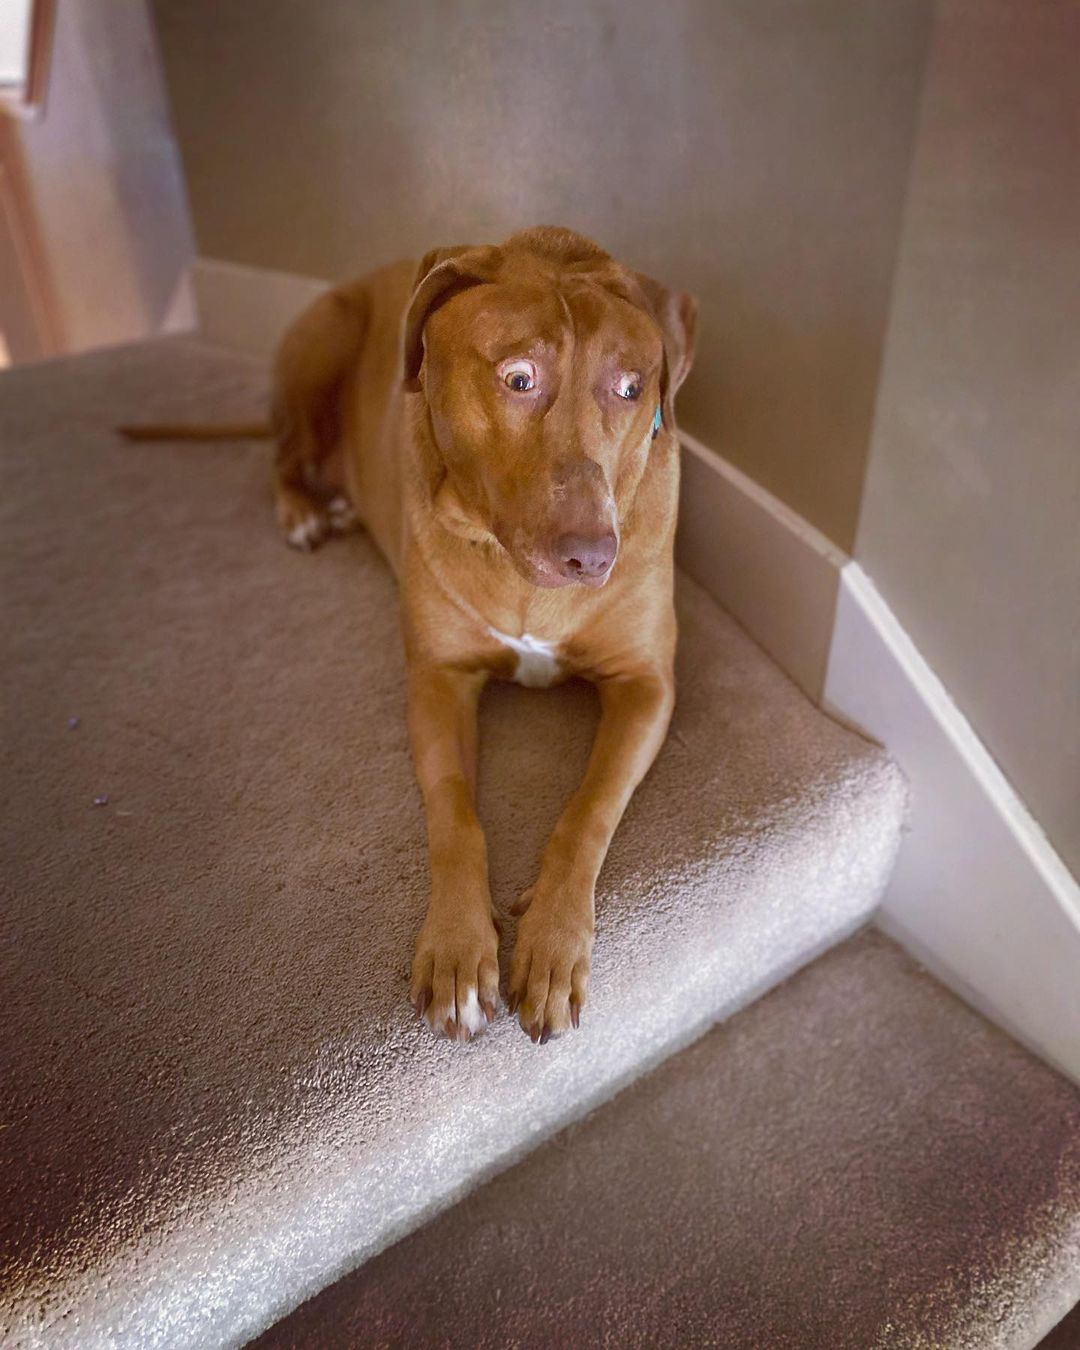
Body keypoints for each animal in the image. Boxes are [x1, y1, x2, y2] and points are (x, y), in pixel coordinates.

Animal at [122, 224, 702, 1042]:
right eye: (518, 378)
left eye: (630, 387)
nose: (593, 556)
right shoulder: (438, 681)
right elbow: (455, 813)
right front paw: (459, 949)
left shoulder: (646, 686)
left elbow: (588, 812)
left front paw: (553, 945)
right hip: (321, 342)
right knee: (281, 455)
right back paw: (305, 509)